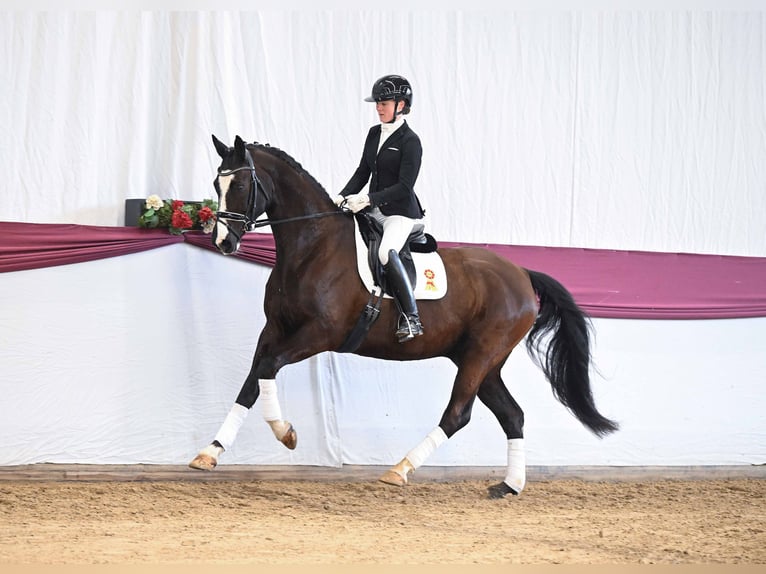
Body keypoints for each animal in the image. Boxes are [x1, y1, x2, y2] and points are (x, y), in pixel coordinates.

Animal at [189, 134, 619, 498]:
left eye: (240, 186)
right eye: (216, 184)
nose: (223, 242)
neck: (312, 247)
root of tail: (522, 274)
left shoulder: (319, 334)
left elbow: (268, 368)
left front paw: (286, 434)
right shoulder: (274, 329)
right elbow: (252, 380)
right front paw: (210, 452)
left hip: (481, 354)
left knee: (458, 414)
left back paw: (400, 469)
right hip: (483, 360)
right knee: (512, 415)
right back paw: (508, 486)